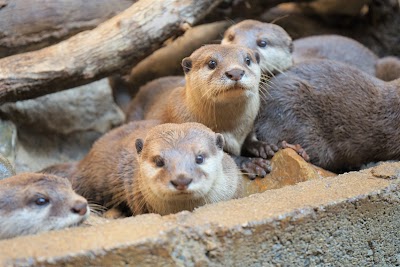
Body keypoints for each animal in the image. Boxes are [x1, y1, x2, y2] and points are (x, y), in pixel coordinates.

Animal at [126, 45, 276, 179]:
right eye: (212, 63)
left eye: (247, 60)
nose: (235, 72)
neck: (232, 129)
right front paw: (252, 163)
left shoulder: (249, 124)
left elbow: (250, 137)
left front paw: (262, 146)